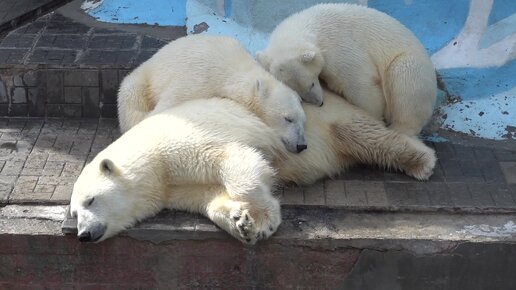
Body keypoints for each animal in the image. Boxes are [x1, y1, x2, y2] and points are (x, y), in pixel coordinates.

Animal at [70, 89, 438, 244]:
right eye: (74, 213)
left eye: (91, 200)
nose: (83, 235)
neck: (154, 159)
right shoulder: (174, 188)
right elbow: (208, 198)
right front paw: (241, 221)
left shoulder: (188, 139)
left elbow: (238, 161)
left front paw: (264, 219)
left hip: (329, 117)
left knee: (367, 135)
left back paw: (422, 161)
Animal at [119, 34, 308, 153]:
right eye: (288, 118)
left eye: (303, 120)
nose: (301, 145)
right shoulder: (195, 82)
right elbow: (163, 109)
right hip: (143, 80)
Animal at [256, 3, 438, 137]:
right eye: (299, 93)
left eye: (312, 84)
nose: (319, 103)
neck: (311, 24)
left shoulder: (338, 46)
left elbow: (360, 85)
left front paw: (373, 119)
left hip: (411, 67)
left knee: (404, 83)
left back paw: (399, 129)